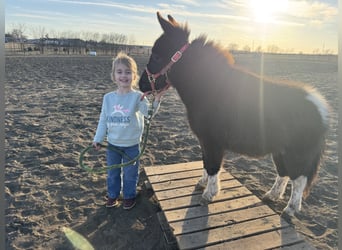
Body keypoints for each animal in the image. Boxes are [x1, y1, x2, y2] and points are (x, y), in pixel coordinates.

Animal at [139, 11, 328, 216]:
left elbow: (213, 166)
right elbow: (205, 162)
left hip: (297, 155)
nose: (141, 85)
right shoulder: (204, 141)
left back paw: (290, 209)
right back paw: (271, 196)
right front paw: (202, 184)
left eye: (157, 57)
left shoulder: (212, 141)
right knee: (284, 174)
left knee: (299, 180)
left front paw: (209, 194)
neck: (209, 88)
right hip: (280, 152)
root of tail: (320, 108)